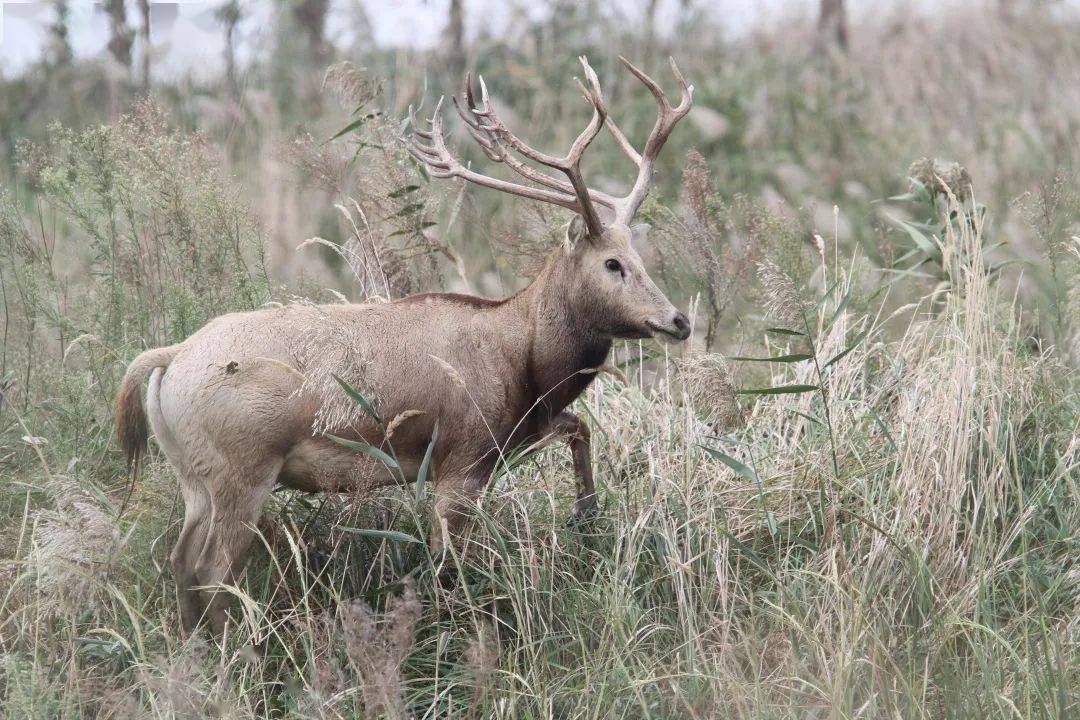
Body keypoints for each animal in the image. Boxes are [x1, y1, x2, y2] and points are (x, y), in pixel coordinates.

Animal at [116, 56, 691, 634]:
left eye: (639, 258)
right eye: (612, 264)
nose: (679, 320)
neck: (521, 361)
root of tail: (170, 357)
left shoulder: (516, 434)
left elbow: (580, 428)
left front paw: (586, 513)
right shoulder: (464, 453)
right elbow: (446, 558)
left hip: (194, 471)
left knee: (181, 559)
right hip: (243, 464)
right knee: (211, 569)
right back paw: (240, 647)